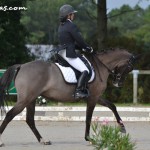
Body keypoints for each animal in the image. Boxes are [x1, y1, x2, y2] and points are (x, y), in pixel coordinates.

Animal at [0, 48, 137, 146]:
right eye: (129, 67)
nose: (118, 83)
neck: (99, 67)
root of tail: (22, 66)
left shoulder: (95, 96)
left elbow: (112, 106)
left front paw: (122, 127)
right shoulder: (92, 98)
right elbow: (88, 118)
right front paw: (89, 138)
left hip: (31, 99)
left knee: (29, 120)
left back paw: (44, 140)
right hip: (26, 99)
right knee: (10, 115)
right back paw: (2, 142)